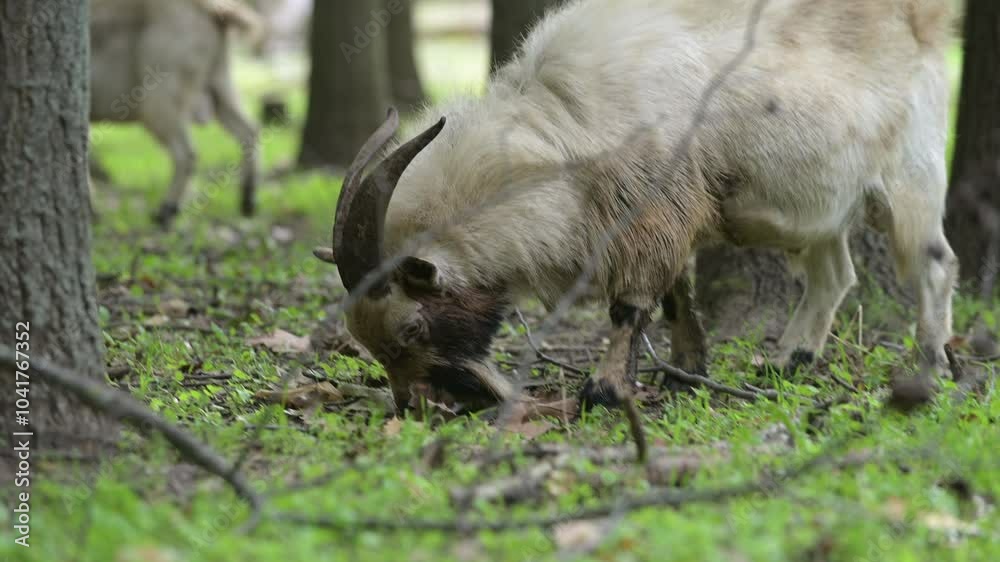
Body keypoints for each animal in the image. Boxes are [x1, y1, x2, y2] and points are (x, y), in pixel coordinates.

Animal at [90, 0, 261, 226]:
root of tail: (214, 11)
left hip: (159, 98)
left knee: (186, 152)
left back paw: (165, 212)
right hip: (220, 83)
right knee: (248, 131)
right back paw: (247, 202)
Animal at [315, 0, 958, 410]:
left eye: (412, 326)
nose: (420, 406)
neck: (560, 123)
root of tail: (924, 21)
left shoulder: (653, 213)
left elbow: (631, 304)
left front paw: (604, 391)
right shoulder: (668, 216)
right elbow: (675, 296)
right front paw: (688, 372)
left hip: (912, 180)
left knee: (935, 266)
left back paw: (934, 368)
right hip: (819, 210)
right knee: (834, 276)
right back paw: (789, 361)